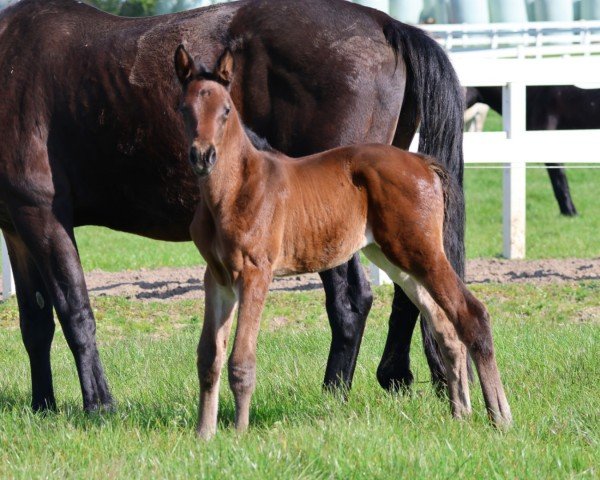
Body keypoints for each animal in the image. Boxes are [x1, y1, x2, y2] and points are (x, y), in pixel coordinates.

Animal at [0, 0, 464, 412]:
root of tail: (384, 24)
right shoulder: (16, 228)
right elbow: (35, 322)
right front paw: (43, 406)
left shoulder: (42, 215)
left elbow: (74, 311)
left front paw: (99, 405)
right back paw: (393, 374)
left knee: (351, 302)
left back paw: (333, 394)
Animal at [175, 47, 510, 440]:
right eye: (184, 108)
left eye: (226, 110)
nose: (203, 156)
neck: (236, 188)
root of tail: (423, 163)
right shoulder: (217, 278)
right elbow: (208, 357)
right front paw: (204, 434)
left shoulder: (256, 273)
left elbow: (242, 358)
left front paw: (240, 433)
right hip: (396, 257)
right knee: (445, 326)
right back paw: (461, 414)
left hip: (422, 252)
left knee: (473, 314)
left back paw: (500, 415)